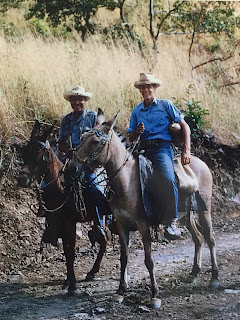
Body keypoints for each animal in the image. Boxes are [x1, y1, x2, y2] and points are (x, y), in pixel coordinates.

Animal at [18, 120, 108, 296]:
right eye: (25, 151)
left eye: (39, 153)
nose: (22, 179)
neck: (62, 188)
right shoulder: (58, 223)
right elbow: (66, 251)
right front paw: (68, 281)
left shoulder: (70, 223)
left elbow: (70, 251)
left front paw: (72, 285)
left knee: (105, 240)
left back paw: (93, 271)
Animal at [74, 110, 219, 308]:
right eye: (82, 138)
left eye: (95, 142)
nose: (74, 167)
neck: (126, 181)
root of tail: (200, 162)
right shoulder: (122, 225)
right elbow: (124, 258)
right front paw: (120, 291)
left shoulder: (143, 226)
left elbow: (149, 260)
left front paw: (155, 294)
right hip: (186, 215)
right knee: (198, 238)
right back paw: (194, 273)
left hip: (205, 210)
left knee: (210, 239)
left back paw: (214, 278)